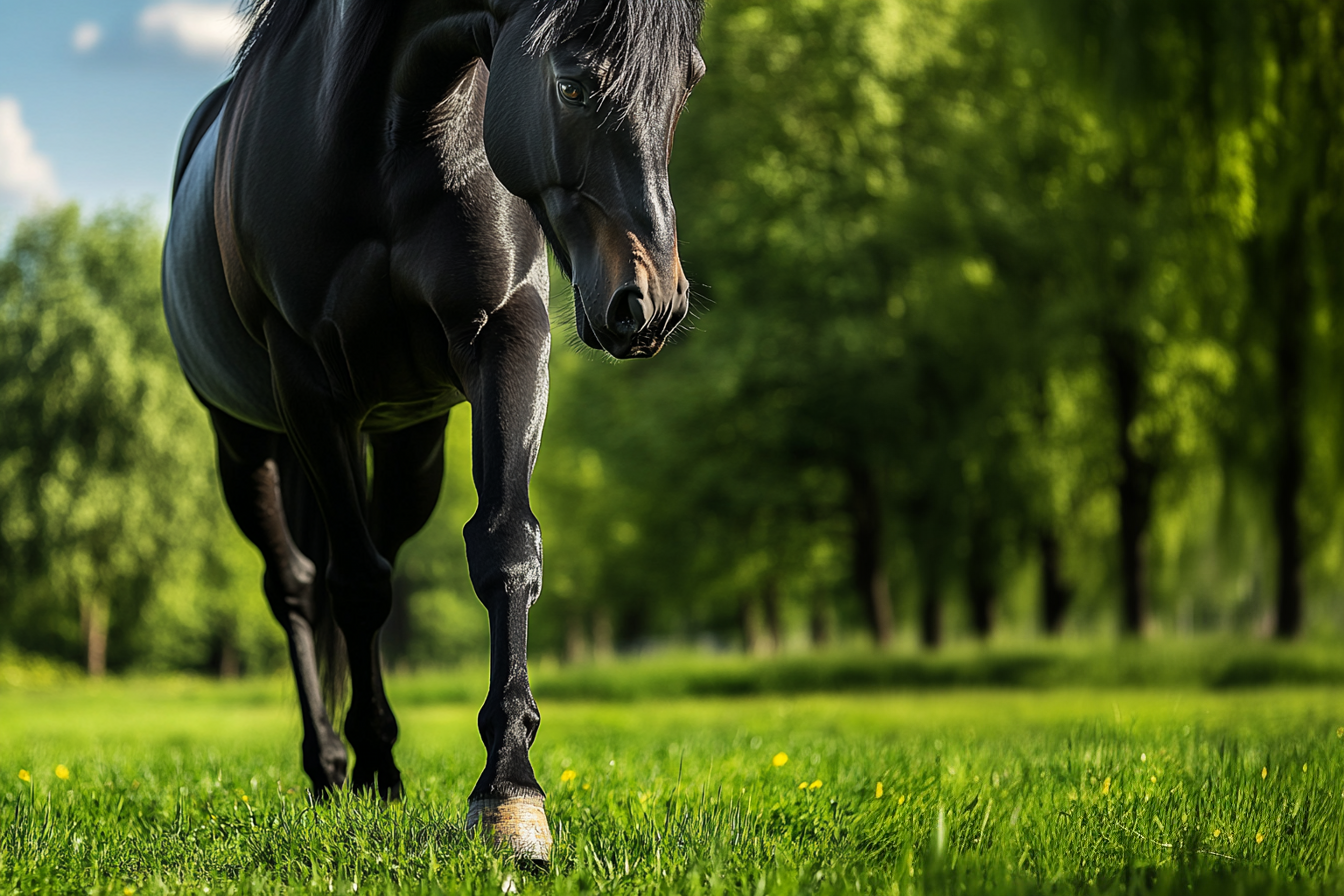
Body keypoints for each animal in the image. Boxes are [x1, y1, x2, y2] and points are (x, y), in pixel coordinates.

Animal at [161, 0, 704, 862]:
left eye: (690, 83)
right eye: (573, 84)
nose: (652, 305)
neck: (396, 134)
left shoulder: (506, 332)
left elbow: (504, 548)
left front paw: (511, 796)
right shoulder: (307, 384)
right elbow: (353, 584)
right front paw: (377, 767)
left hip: (405, 444)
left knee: (372, 562)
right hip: (244, 442)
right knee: (299, 586)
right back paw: (332, 763)